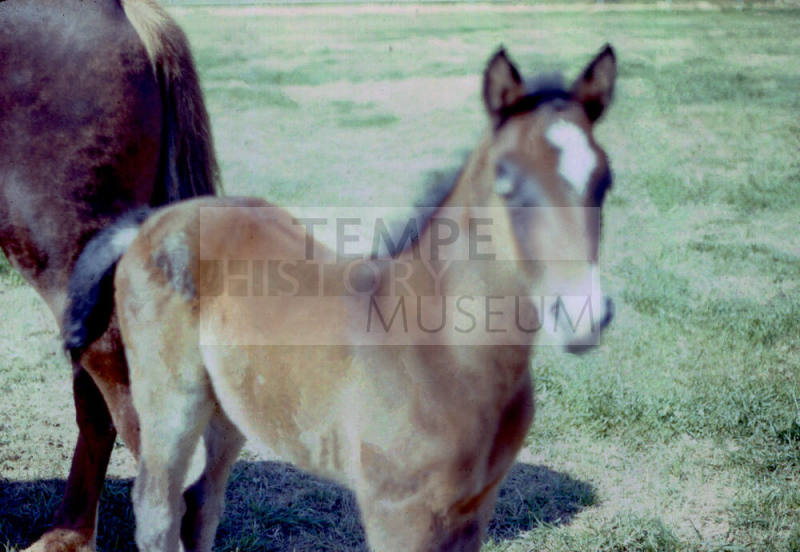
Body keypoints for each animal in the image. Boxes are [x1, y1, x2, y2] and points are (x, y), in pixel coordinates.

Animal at [64, 44, 617, 551]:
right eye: (506, 179)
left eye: (605, 179)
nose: (583, 314)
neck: (446, 355)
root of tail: (153, 220)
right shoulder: (398, 513)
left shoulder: (474, 508)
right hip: (170, 397)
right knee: (157, 507)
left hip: (231, 403)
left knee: (201, 502)